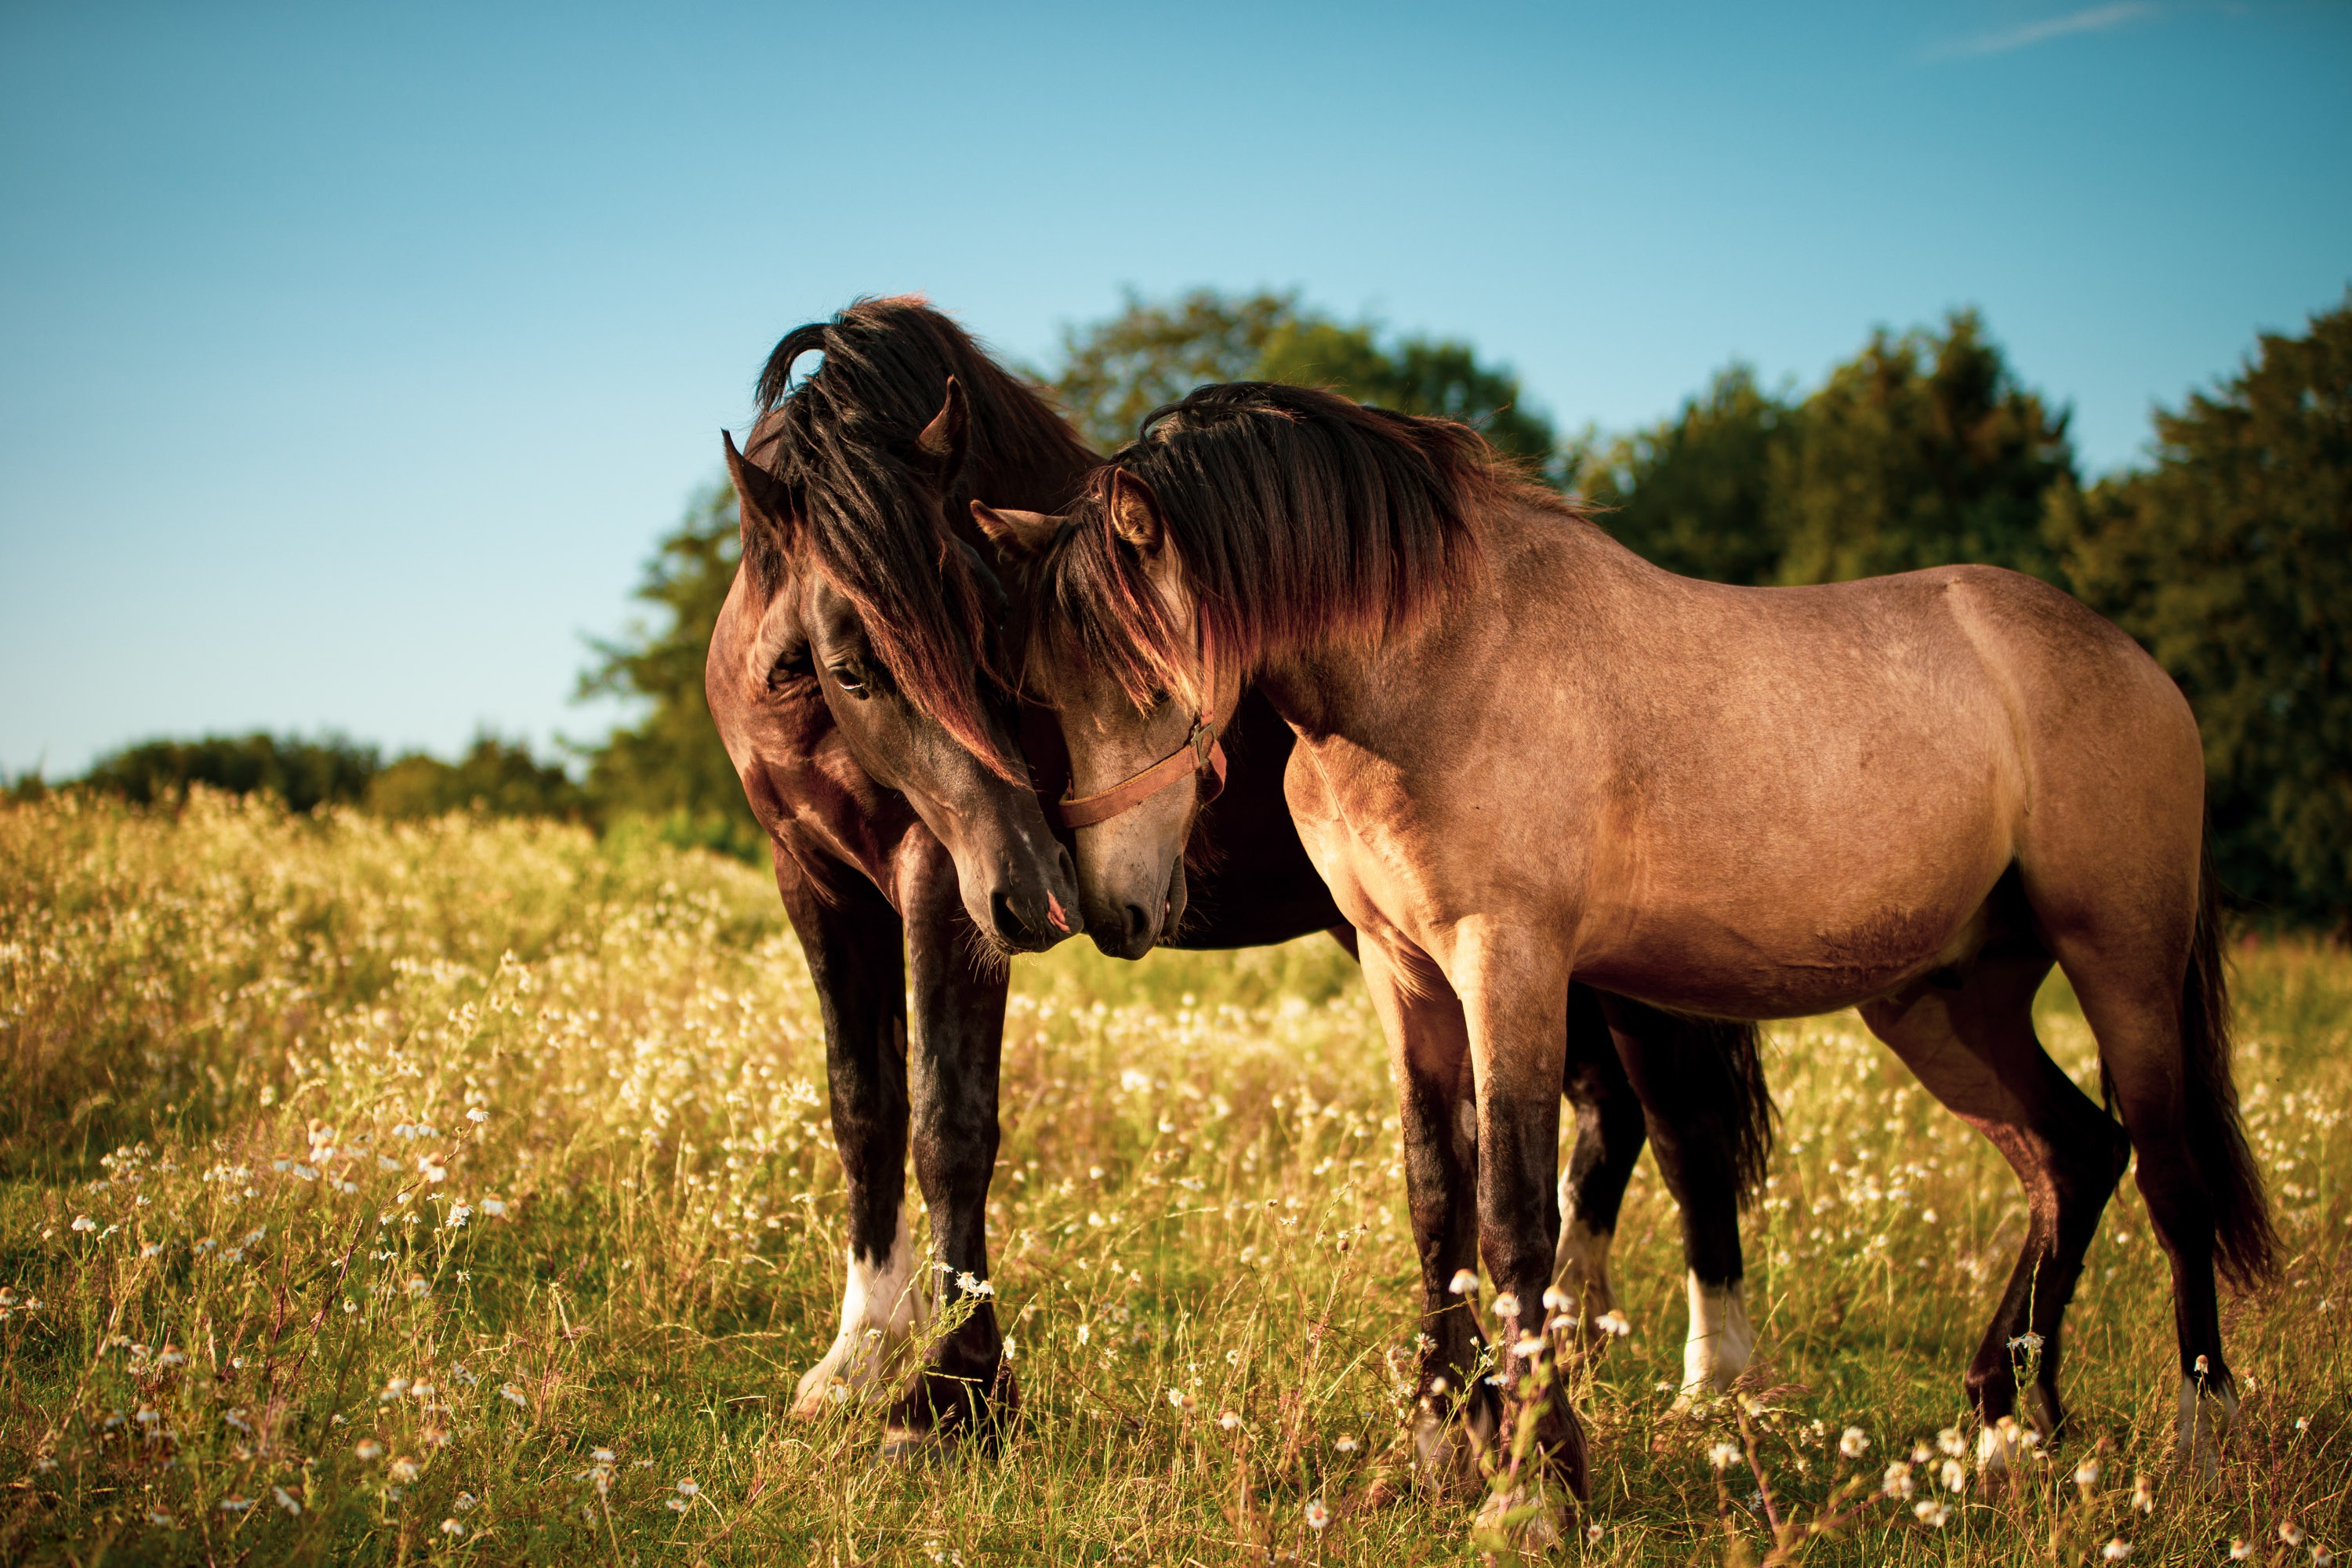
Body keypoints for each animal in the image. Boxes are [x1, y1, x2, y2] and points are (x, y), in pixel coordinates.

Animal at [706, 303, 1769, 1457]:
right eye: (855, 668)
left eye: (997, 648)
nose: (1041, 892)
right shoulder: (818, 886)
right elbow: (864, 1110)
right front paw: (858, 1359)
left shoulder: (944, 889)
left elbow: (952, 1125)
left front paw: (951, 1392)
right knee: (1610, 1118)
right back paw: (1574, 1344)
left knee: (1682, 1125)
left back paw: (1715, 1385)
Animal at [988, 373, 2277, 1514]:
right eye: (1044, 683)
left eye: (1144, 674)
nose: (1113, 908)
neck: (1439, 665)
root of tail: (2136, 665)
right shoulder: (1404, 975)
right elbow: (1435, 1205)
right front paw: (1438, 1454)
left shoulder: (1508, 963)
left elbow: (1516, 1217)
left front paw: (1533, 1480)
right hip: (1945, 1000)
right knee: (2072, 1155)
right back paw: (2007, 1424)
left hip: (2122, 965)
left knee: (2169, 1178)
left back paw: (2198, 1450)